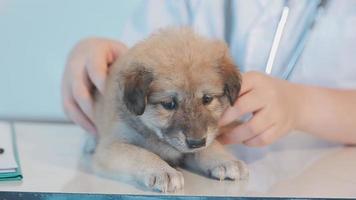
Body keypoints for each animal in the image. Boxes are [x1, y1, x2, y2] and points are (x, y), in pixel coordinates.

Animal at [92, 27, 248, 192]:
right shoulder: (110, 147)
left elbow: (210, 145)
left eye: (207, 99)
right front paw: (163, 171)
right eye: (168, 104)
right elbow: (140, 153)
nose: (196, 142)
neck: (152, 132)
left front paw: (225, 160)